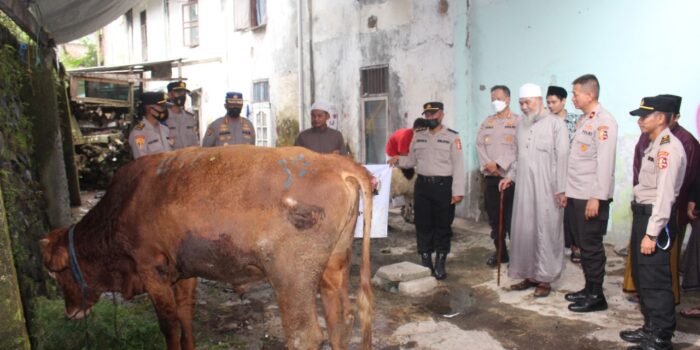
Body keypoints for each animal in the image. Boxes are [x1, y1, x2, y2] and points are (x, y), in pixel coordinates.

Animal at [41, 144, 374, 348]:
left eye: (56, 271)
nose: (70, 312)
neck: (123, 205)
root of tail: (333, 161)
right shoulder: (184, 272)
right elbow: (185, 316)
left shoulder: (151, 269)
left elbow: (169, 324)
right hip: (333, 266)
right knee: (341, 320)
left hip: (292, 279)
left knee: (305, 336)